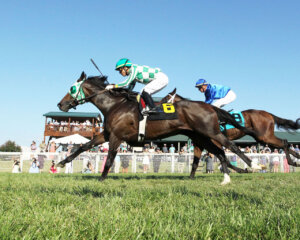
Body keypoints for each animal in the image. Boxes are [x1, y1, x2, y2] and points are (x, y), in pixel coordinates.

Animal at [57, 72, 262, 185]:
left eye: (72, 88)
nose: (60, 104)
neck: (114, 105)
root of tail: (209, 106)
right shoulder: (107, 134)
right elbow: (84, 146)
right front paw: (62, 162)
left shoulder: (116, 136)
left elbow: (109, 159)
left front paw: (101, 179)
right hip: (200, 136)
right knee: (219, 152)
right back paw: (226, 178)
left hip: (211, 132)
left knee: (230, 146)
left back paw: (254, 165)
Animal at [162, 88, 300, 178]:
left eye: (165, 99)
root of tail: (268, 114)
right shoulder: (199, 144)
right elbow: (196, 162)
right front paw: (191, 177)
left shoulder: (215, 141)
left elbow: (224, 157)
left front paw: (241, 170)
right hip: (263, 137)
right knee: (284, 144)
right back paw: (296, 159)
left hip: (264, 136)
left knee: (284, 142)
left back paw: (292, 161)